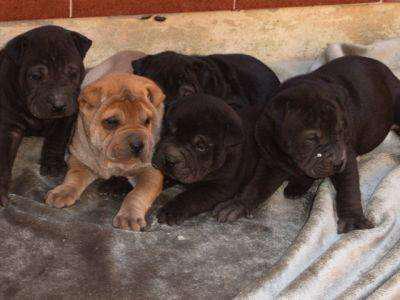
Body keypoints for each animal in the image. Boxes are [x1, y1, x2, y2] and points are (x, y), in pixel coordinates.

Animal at [0, 25, 91, 206]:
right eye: (36, 76)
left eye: (72, 73)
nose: (59, 104)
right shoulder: (9, 127)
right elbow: (4, 157)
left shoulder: (66, 116)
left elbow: (57, 139)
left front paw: (53, 165)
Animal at [45, 74, 166, 231]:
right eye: (112, 121)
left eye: (147, 121)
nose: (137, 145)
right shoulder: (80, 159)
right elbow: (74, 177)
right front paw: (63, 191)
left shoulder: (151, 172)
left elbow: (137, 194)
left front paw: (129, 216)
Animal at [152, 94, 260, 225]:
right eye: (170, 131)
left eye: (201, 147)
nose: (170, 160)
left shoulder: (219, 186)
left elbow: (190, 196)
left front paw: (171, 210)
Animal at [214, 56, 400, 233]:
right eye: (311, 139)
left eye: (340, 131)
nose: (337, 162)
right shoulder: (270, 161)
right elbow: (256, 185)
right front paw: (238, 204)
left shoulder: (346, 156)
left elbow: (349, 190)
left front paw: (353, 219)